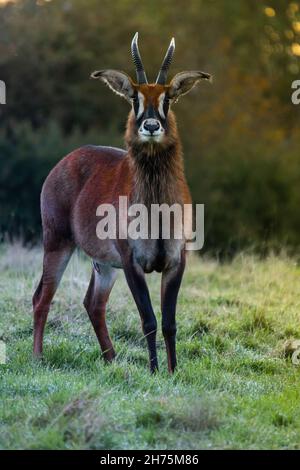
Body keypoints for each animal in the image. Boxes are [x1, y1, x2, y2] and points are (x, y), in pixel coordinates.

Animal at [32, 33, 211, 372]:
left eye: (167, 99)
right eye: (134, 99)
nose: (151, 126)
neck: (157, 210)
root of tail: (64, 162)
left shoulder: (176, 260)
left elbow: (170, 322)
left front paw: (173, 371)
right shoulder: (132, 262)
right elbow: (149, 320)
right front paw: (154, 371)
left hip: (103, 264)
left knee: (93, 303)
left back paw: (111, 359)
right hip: (57, 242)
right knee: (42, 298)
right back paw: (38, 357)